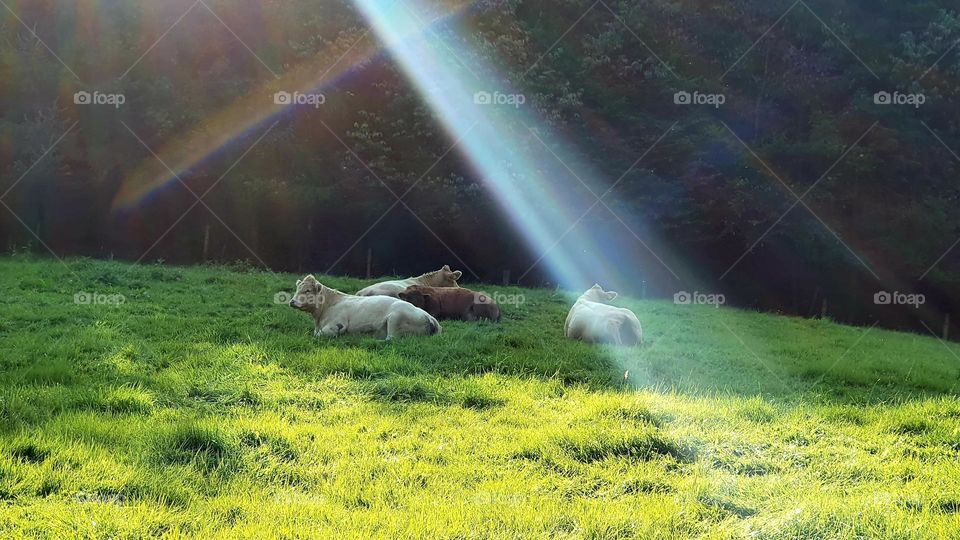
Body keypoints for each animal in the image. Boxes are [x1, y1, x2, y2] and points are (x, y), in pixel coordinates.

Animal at [289, 275, 441, 340]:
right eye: (297, 288)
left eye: (307, 290)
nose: (292, 301)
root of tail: (428, 316)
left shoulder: (336, 324)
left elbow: (319, 335)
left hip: (395, 318)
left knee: (391, 339)